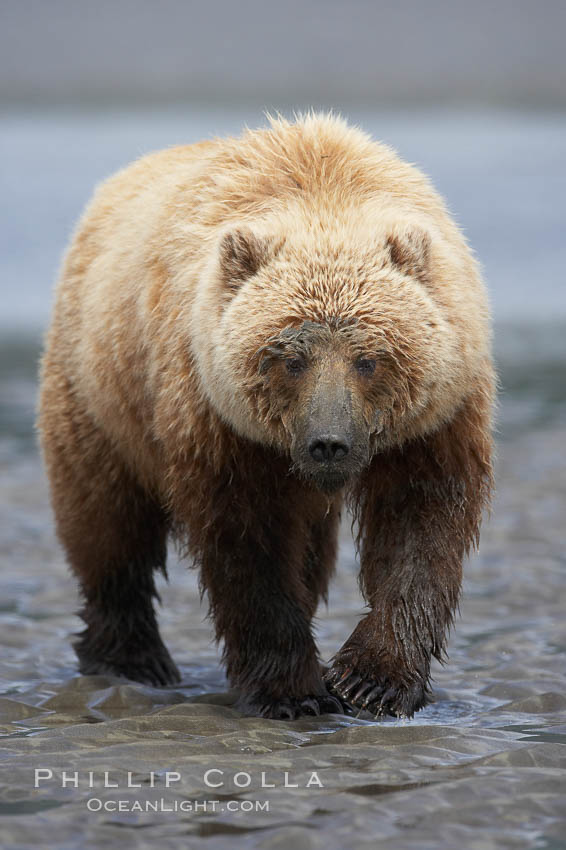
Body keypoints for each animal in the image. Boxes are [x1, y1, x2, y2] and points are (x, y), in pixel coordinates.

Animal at [37, 112, 494, 720]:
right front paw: (294, 691)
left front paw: (371, 681)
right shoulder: (218, 420)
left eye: (369, 358)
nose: (329, 443)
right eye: (289, 358)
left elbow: (420, 527)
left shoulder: (434, 420)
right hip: (101, 393)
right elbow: (248, 546)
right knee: (107, 524)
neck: (327, 194)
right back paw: (132, 660)